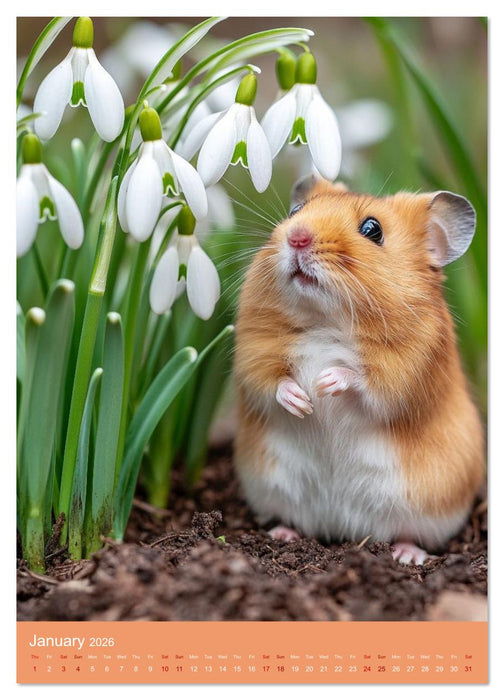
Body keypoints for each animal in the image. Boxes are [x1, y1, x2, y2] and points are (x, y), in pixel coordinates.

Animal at [234, 176, 484, 565]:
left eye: (372, 230)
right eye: (296, 211)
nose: (298, 236)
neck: (325, 320)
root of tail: (343, 527)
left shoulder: (404, 371)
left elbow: (363, 380)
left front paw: (324, 383)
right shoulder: (253, 353)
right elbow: (272, 382)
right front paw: (303, 402)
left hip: (424, 510)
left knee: (409, 534)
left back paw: (406, 556)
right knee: (293, 519)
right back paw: (283, 534)